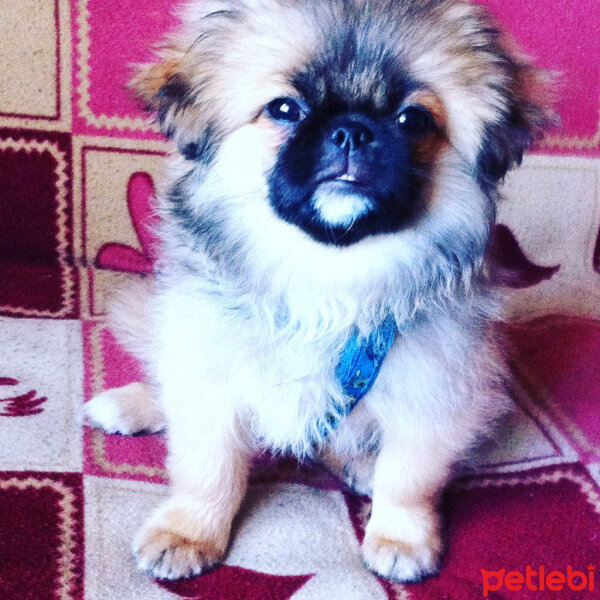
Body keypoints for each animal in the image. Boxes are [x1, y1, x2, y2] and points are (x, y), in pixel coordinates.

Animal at [84, 0, 552, 584]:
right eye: (285, 109)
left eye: (413, 120)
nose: (352, 131)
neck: (328, 273)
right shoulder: (211, 369)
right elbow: (207, 468)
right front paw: (188, 533)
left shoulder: (433, 387)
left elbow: (409, 477)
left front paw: (400, 537)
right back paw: (131, 405)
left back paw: (359, 464)